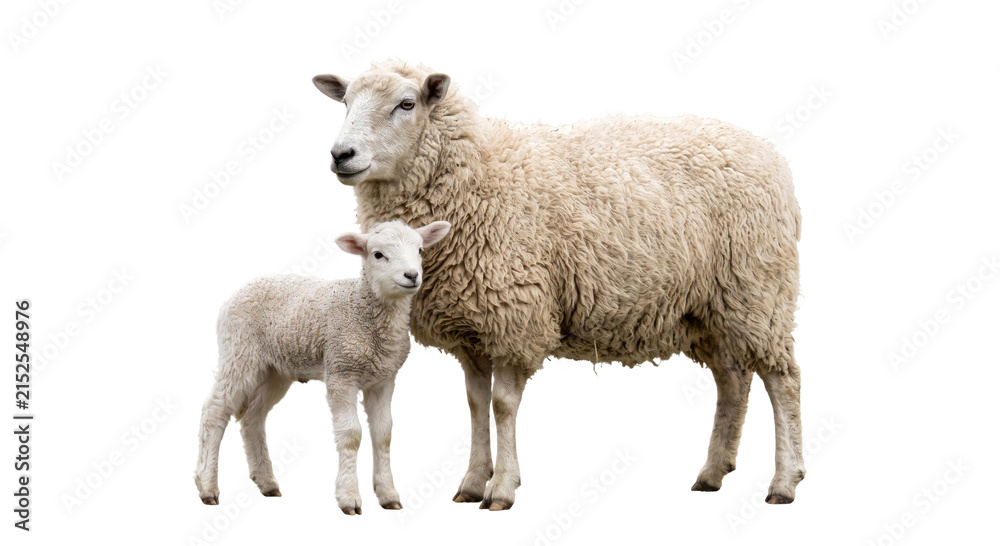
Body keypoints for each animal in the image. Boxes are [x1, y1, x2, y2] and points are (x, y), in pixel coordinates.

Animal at [194, 219, 452, 515]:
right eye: (378, 254)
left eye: (420, 250)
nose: (411, 275)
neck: (365, 308)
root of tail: (239, 291)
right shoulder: (341, 371)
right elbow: (351, 434)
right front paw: (349, 497)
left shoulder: (383, 378)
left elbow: (383, 433)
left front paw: (388, 495)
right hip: (239, 351)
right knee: (214, 411)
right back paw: (207, 486)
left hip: (275, 370)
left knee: (252, 417)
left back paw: (267, 483)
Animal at [312, 60, 805, 511]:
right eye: (345, 102)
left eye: (406, 104)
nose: (341, 154)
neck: (478, 174)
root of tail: (768, 153)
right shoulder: (472, 329)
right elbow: (475, 405)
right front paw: (471, 482)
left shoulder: (516, 318)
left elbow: (503, 405)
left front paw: (502, 489)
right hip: (711, 309)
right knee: (733, 380)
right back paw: (712, 473)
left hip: (760, 292)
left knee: (782, 380)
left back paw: (784, 481)